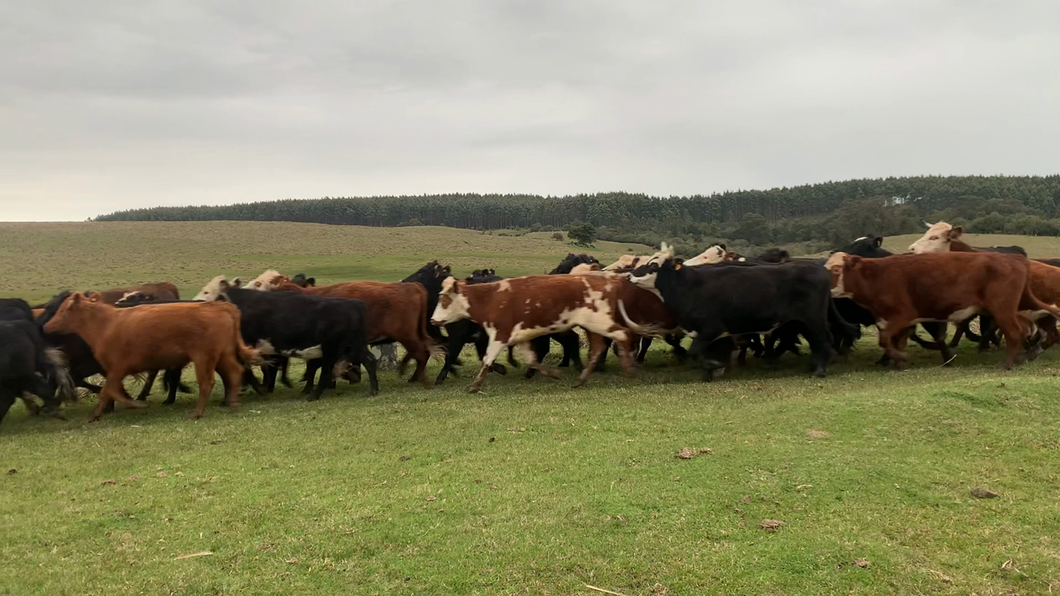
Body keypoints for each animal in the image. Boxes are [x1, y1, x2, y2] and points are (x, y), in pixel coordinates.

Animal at [41, 294, 260, 419]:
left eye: (63, 310)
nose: (46, 326)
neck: (105, 325)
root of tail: (221, 306)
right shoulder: (114, 370)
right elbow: (113, 391)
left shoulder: (117, 368)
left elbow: (107, 391)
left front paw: (99, 413)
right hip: (223, 355)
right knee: (235, 372)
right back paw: (233, 403)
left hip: (203, 357)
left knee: (207, 383)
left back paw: (197, 413)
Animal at [192, 277, 379, 398]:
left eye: (208, 292)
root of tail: (354, 303)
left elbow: (248, 370)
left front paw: (259, 389)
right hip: (354, 345)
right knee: (370, 361)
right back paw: (373, 390)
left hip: (332, 348)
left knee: (326, 371)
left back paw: (312, 396)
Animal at [428, 273, 640, 390]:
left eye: (444, 300)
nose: (432, 319)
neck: (491, 298)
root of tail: (607, 281)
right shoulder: (519, 336)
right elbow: (532, 359)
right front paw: (552, 373)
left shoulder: (500, 335)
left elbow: (487, 359)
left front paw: (474, 386)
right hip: (592, 326)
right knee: (597, 348)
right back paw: (581, 379)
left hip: (599, 323)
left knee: (622, 334)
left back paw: (629, 368)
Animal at [623, 243, 839, 377]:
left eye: (653, 265)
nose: (629, 276)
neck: (689, 286)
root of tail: (819, 268)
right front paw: (713, 370)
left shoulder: (711, 329)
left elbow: (695, 352)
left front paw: (714, 366)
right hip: (802, 322)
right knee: (815, 341)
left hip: (814, 319)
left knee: (825, 339)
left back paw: (819, 370)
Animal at [826, 249, 1060, 369]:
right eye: (827, 267)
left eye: (837, 269)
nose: (825, 288)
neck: (876, 276)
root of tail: (1015, 257)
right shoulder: (895, 321)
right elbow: (895, 341)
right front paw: (897, 363)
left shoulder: (903, 315)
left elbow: (885, 340)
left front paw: (900, 358)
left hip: (1002, 309)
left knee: (1015, 332)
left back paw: (1008, 364)